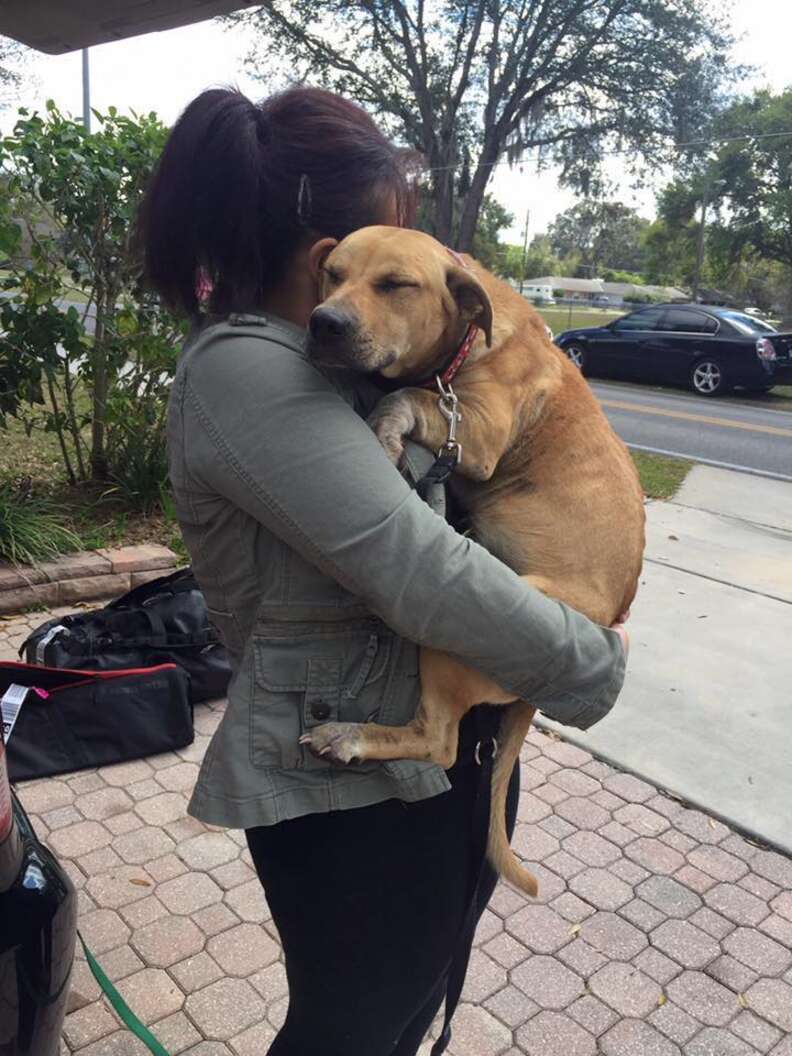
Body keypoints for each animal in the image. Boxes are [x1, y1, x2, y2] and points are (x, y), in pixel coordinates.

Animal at [302, 229, 646, 891]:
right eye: (332, 273)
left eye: (396, 284)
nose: (323, 322)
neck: (463, 351)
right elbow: (410, 391)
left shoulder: (478, 431)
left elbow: (406, 396)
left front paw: (384, 428)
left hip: (462, 625)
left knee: (440, 742)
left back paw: (352, 736)